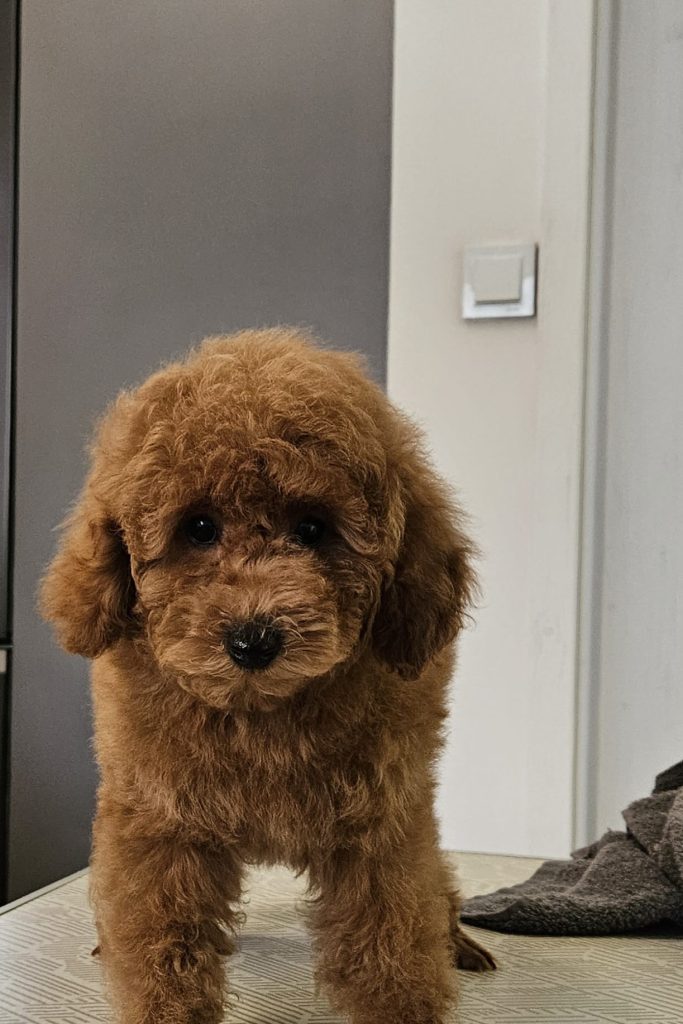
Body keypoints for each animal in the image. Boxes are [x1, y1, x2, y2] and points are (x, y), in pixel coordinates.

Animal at [41, 328, 494, 1024]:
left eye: (313, 528)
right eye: (198, 527)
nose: (253, 640)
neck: (260, 713)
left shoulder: (381, 822)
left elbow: (390, 939)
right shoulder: (159, 819)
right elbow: (161, 941)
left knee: (435, 886)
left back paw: (457, 939)